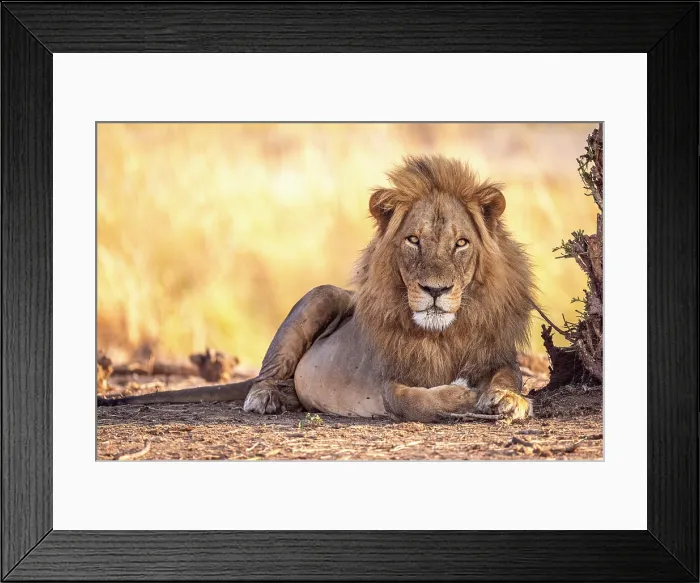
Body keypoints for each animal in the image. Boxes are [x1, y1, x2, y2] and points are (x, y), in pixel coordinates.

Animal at [98, 155, 536, 422]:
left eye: (461, 243)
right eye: (413, 240)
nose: (435, 290)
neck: (444, 333)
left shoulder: (497, 354)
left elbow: (509, 377)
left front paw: (507, 400)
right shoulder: (389, 380)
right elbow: (416, 400)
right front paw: (465, 395)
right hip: (320, 296)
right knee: (267, 374)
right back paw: (266, 398)